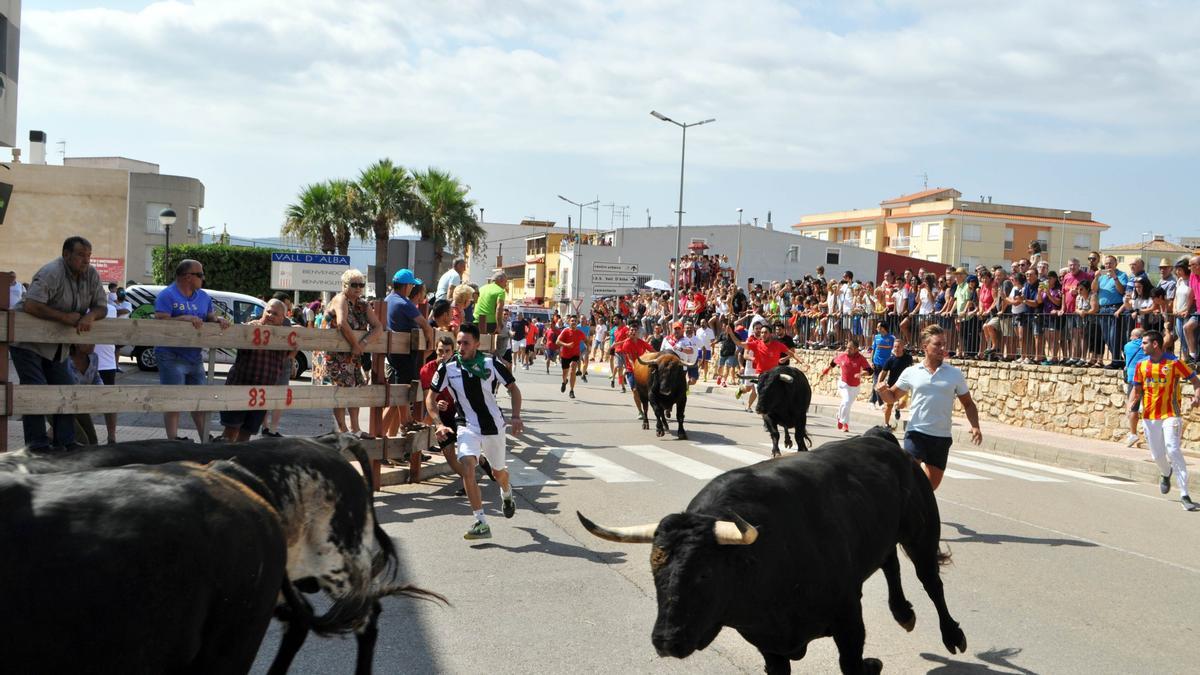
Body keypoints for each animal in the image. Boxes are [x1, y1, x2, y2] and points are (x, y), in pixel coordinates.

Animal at [578, 427, 964, 667]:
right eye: (654, 570)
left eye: (704, 573)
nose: (666, 641)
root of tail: (879, 438)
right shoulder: (768, 646)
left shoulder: (849, 621)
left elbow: (854, 664)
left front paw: (874, 664)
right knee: (889, 562)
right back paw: (904, 614)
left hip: (920, 533)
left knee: (931, 581)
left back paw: (952, 635)